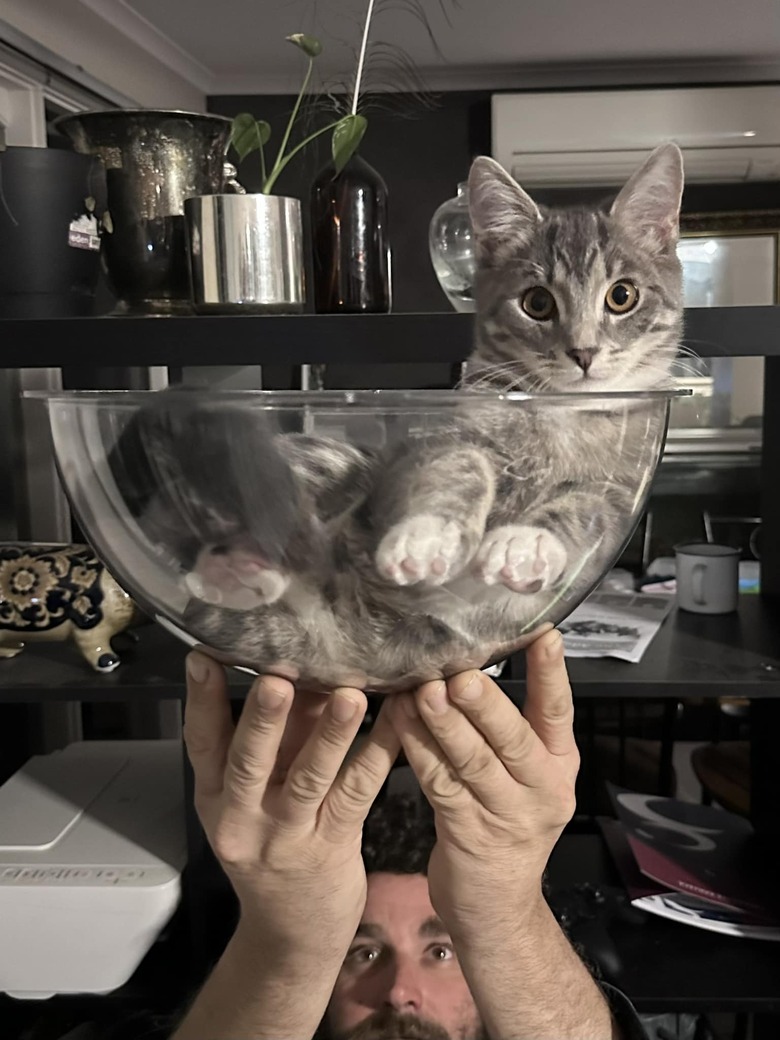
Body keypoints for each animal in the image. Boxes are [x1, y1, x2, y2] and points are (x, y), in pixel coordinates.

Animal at [119, 140, 686, 690]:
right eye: (538, 303)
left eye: (622, 296)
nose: (583, 352)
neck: (562, 418)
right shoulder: (442, 437)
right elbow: (460, 464)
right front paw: (427, 532)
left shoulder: (623, 488)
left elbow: (586, 503)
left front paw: (524, 542)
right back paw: (234, 566)